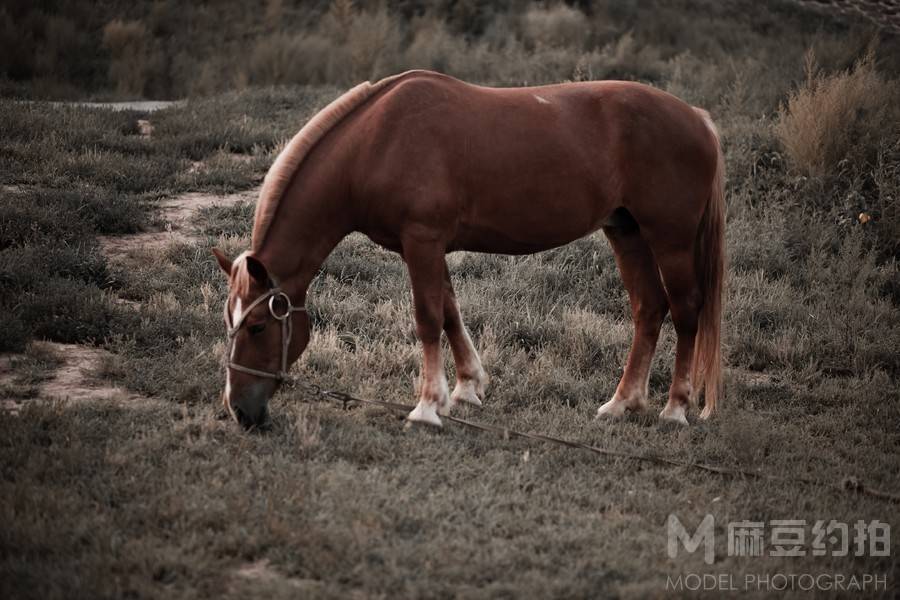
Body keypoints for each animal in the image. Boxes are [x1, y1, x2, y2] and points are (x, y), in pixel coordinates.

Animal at [213, 70, 724, 428]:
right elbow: (450, 312)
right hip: (626, 232)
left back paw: (675, 409)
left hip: (670, 239)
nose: (240, 411)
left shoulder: (422, 240)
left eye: (257, 326)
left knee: (685, 311)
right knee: (648, 308)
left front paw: (425, 407)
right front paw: (465, 389)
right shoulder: (424, 246)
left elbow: (427, 318)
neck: (378, 141)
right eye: (230, 324)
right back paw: (622, 403)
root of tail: (697, 117)